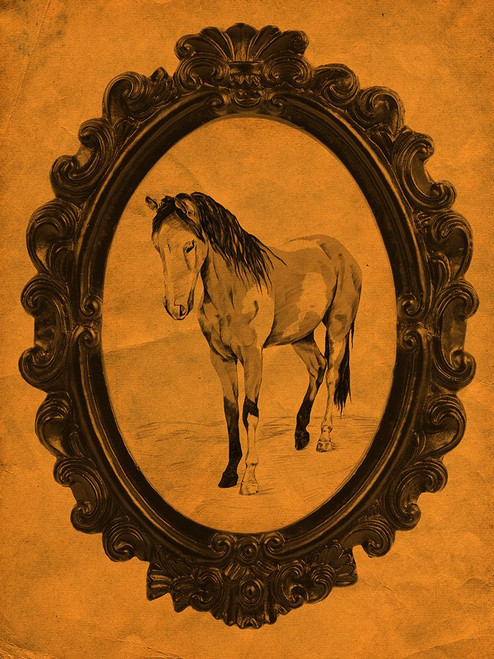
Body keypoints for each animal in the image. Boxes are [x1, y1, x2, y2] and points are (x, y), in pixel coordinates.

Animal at [147, 192, 362, 495]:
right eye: (158, 247)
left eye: (189, 245)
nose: (175, 308)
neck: (235, 289)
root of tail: (341, 251)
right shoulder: (221, 358)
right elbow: (230, 412)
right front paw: (228, 473)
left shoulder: (252, 356)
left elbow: (250, 412)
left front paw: (249, 479)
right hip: (300, 335)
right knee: (317, 368)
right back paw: (301, 434)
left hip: (337, 330)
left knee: (331, 376)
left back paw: (324, 438)